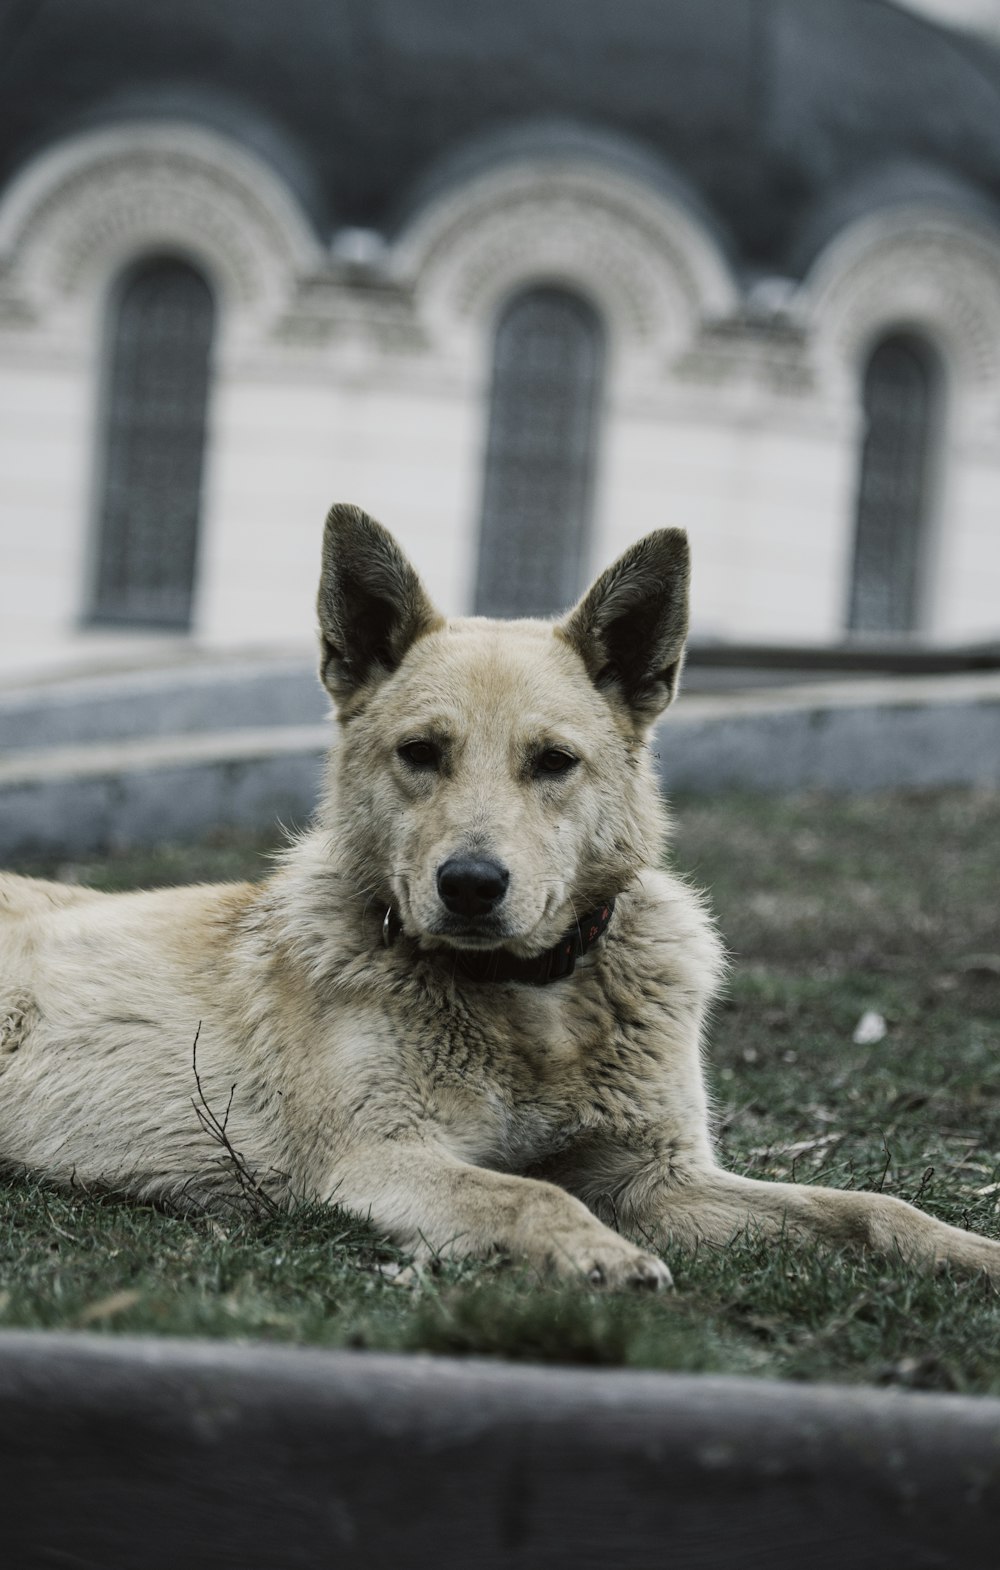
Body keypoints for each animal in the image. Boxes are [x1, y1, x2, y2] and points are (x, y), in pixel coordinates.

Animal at [1, 502, 998, 1287]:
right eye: (421, 753)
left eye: (553, 762)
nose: (471, 885)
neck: (529, 997)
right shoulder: (378, 1158)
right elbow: (524, 1193)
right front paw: (598, 1256)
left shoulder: (657, 1179)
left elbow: (868, 1208)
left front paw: (968, 1252)